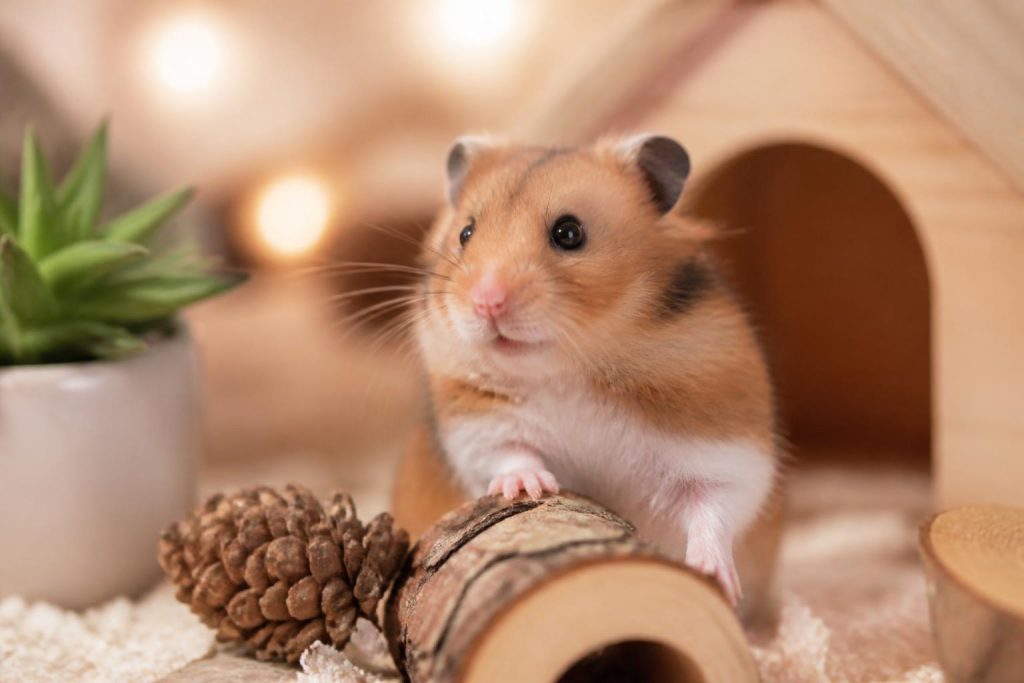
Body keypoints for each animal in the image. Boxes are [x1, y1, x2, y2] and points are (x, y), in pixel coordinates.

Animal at [410, 134, 781, 606]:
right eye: (466, 233)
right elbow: (508, 450)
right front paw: (532, 486)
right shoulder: (476, 427)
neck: (568, 368)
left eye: (569, 233)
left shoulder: (727, 451)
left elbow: (714, 507)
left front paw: (711, 576)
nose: (486, 302)